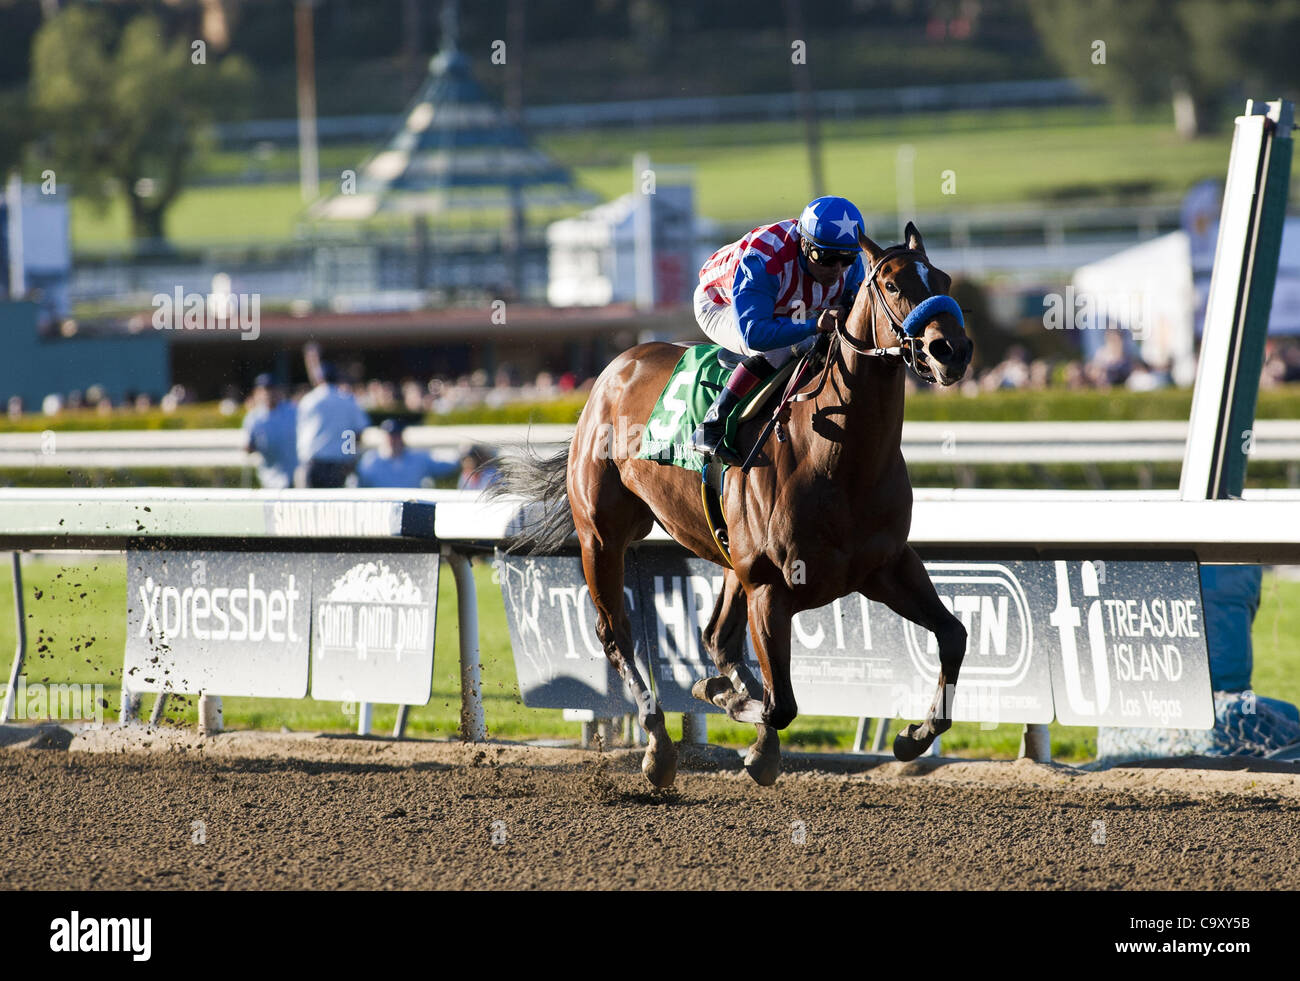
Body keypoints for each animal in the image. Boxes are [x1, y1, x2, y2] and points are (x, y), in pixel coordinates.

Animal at [496, 224, 977, 789]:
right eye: (894, 284)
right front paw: (742, 722)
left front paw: (912, 736)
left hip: (727, 554)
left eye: (944, 281)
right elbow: (780, 703)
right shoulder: (769, 585)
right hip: (602, 535)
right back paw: (659, 746)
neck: (838, 458)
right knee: (617, 634)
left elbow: (953, 634)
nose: (951, 350)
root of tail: (616, 367)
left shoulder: (887, 565)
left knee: (715, 638)